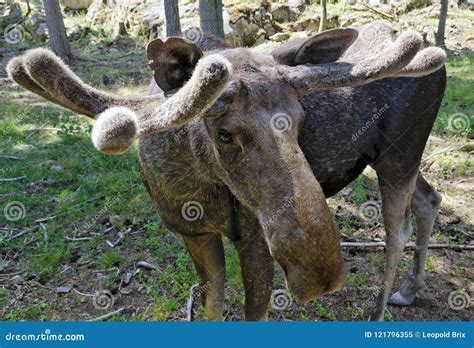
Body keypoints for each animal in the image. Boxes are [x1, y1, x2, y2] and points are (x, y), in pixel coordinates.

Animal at [6, 21, 448, 320]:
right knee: (429, 200)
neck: (189, 187)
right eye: (224, 133)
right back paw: (410, 290)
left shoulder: (253, 239)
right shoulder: (193, 234)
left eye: (300, 118)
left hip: (399, 155)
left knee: (397, 231)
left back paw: (378, 311)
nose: (321, 273)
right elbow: (211, 309)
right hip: (393, 158)